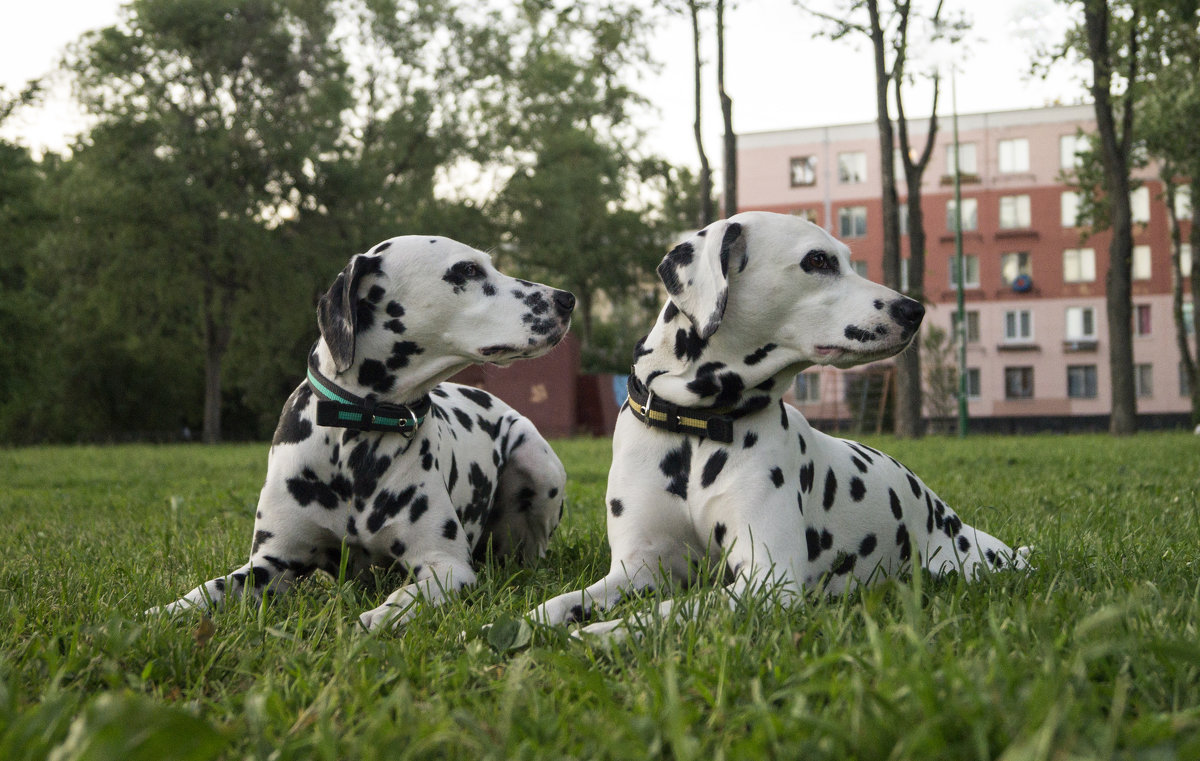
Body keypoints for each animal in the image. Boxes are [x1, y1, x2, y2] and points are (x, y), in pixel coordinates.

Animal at [152, 235, 573, 628]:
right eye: (467, 270)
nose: (567, 299)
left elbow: (409, 595)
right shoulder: (272, 564)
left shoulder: (447, 565)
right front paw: (165, 611)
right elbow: (209, 588)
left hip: (537, 466)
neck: (358, 432)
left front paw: (384, 615)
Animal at [530, 210, 1027, 638]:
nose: (914, 310)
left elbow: (669, 611)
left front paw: (603, 633)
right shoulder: (639, 568)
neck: (698, 425)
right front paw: (541, 619)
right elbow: (567, 601)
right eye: (818, 260)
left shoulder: (767, 581)